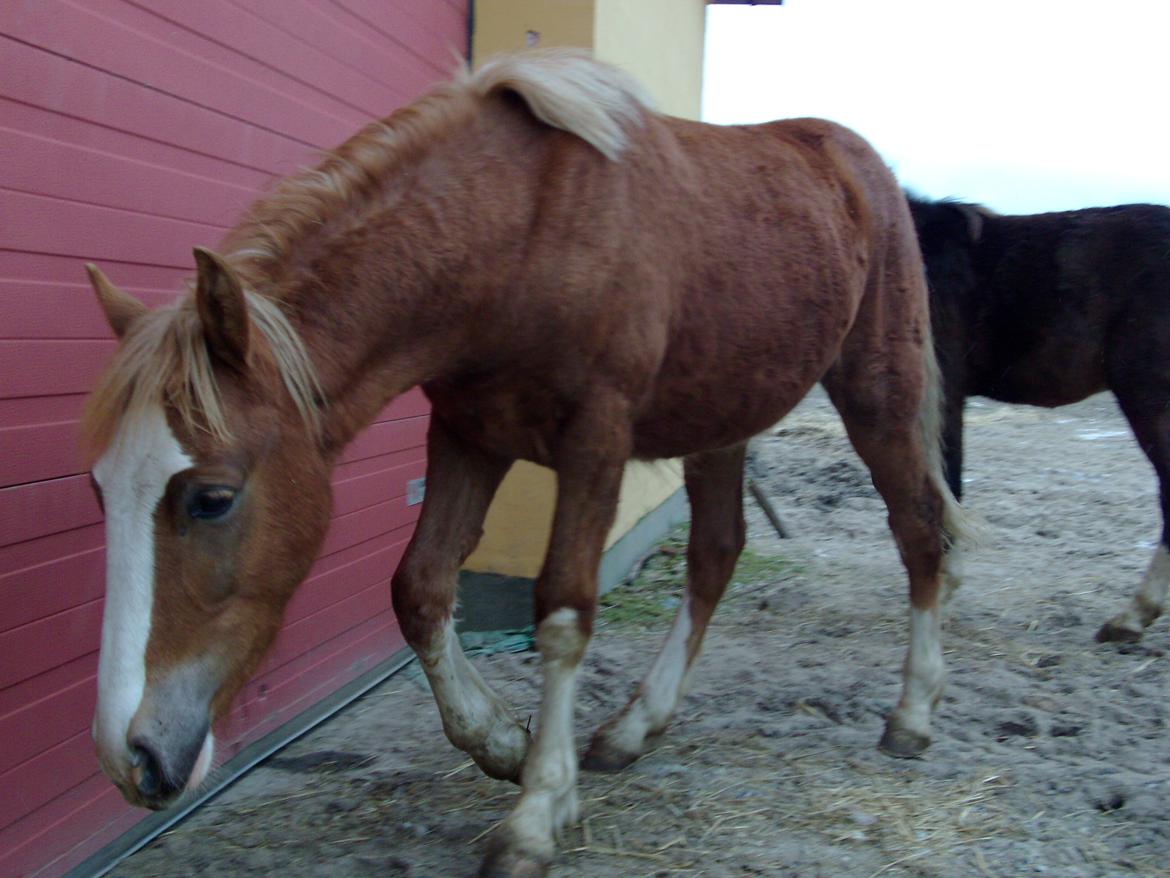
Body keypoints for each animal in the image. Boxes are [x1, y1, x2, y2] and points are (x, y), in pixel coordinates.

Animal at [80, 51, 959, 875]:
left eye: (212, 498)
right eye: (100, 491)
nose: (132, 758)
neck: (520, 233)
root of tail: (857, 161)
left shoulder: (597, 441)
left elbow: (563, 612)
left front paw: (536, 814)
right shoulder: (468, 434)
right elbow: (419, 588)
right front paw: (506, 744)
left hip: (879, 389)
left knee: (919, 530)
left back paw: (914, 716)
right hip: (723, 418)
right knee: (715, 554)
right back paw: (635, 727)